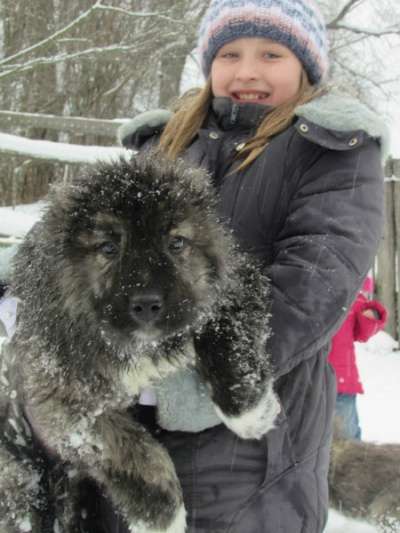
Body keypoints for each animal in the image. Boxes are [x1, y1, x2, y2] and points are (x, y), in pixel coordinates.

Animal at [0, 153, 278, 532]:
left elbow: (228, 340)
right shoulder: (58, 403)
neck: (138, 347)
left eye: (176, 243)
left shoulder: (231, 286)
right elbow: (133, 450)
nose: (147, 304)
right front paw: (165, 517)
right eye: (108, 247)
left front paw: (252, 412)